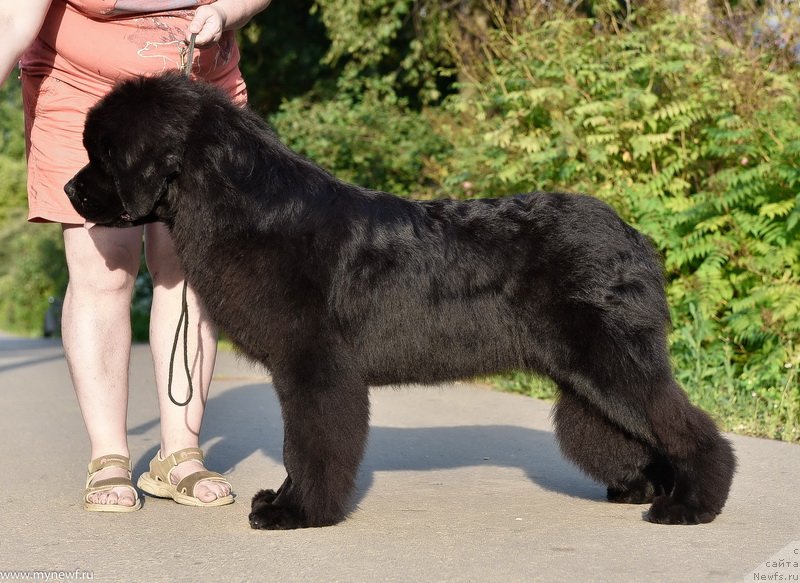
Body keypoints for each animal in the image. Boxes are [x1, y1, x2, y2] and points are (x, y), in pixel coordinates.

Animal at [65, 72, 736, 528]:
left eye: (105, 153)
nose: (69, 190)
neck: (243, 208)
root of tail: (635, 237)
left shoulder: (313, 366)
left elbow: (307, 444)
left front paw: (295, 512)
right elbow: (300, 446)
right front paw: (284, 501)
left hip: (612, 359)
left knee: (686, 425)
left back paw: (690, 504)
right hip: (586, 372)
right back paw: (645, 488)